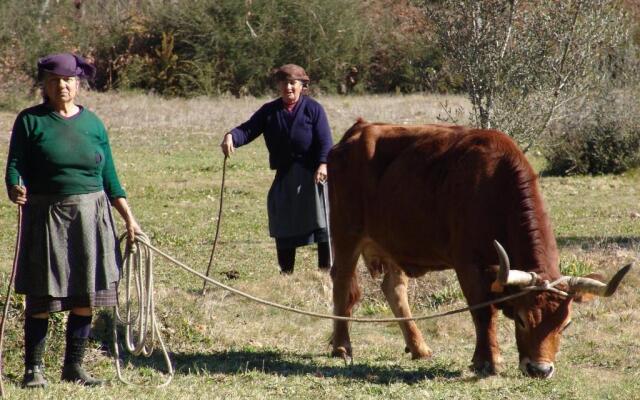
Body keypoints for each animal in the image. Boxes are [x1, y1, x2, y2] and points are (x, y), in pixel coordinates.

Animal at [328, 119, 632, 378]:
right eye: (522, 320)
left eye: (565, 324)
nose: (540, 370)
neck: (494, 186)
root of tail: (359, 128)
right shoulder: (468, 265)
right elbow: (483, 312)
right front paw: (487, 360)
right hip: (346, 233)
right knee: (342, 282)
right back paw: (342, 346)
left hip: (393, 242)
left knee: (394, 289)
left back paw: (419, 347)